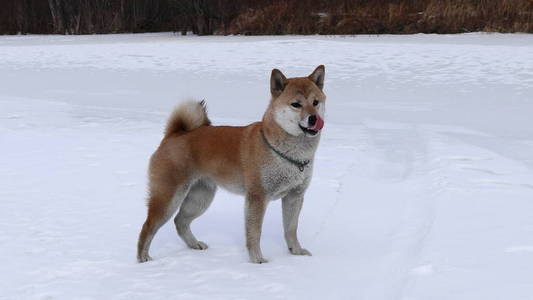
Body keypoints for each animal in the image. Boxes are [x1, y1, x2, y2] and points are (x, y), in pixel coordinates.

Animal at [136, 65, 324, 262]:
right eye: (296, 104)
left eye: (316, 102)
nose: (314, 118)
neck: (284, 153)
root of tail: (174, 135)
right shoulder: (257, 197)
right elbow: (254, 233)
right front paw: (257, 260)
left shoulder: (294, 196)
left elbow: (291, 229)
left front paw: (296, 252)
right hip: (169, 198)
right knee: (148, 226)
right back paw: (143, 258)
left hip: (200, 198)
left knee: (180, 221)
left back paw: (194, 244)